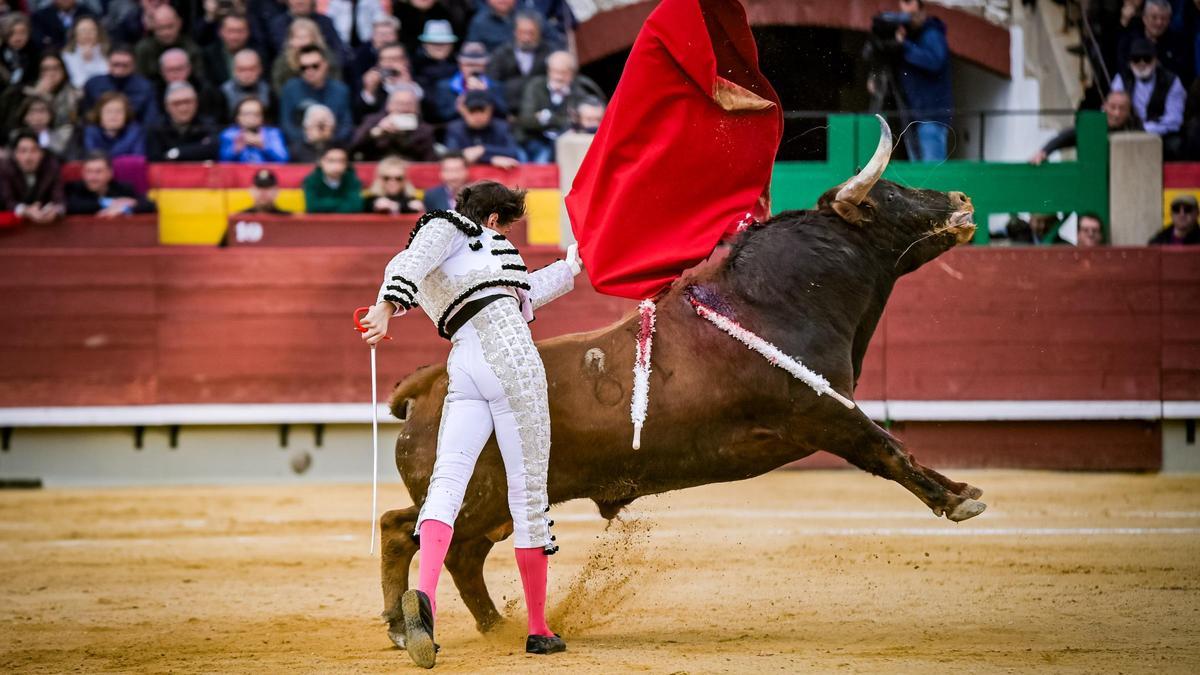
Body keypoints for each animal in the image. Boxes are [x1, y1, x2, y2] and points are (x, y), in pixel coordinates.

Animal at [374, 118, 984, 638]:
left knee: (457, 551)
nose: (961, 199)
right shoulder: (823, 411)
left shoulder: (829, 412)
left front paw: (963, 491)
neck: (777, 299)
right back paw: (409, 624)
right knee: (406, 528)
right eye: (891, 193)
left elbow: (894, 448)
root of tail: (425, 386)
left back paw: (487, 626)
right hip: (475, 492)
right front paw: (958, 501)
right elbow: (888, 449)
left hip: (496, 503)